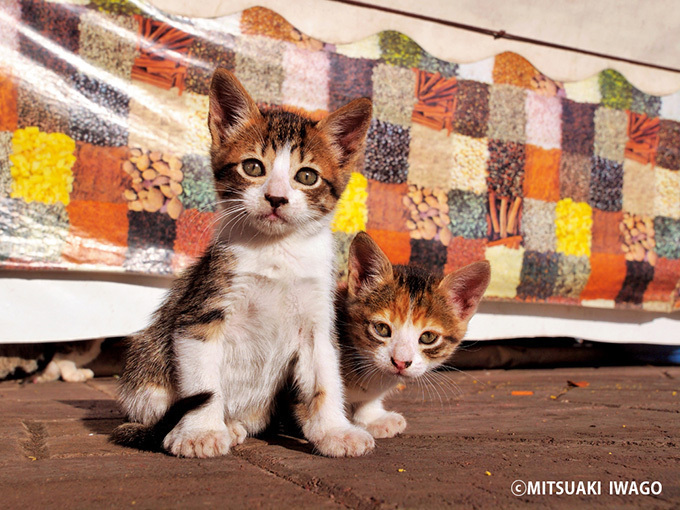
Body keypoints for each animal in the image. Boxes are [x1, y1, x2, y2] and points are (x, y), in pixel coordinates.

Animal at [113, 68, 374, 458]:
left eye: (306, 176)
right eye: (253, 167)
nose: (276, 198)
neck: (276, 250)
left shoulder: (317, 321)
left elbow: (325, 380)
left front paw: (335, 431)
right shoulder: (201, 312)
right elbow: (202, 384)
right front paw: (200, 432)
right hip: (147, 365)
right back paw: (216, 426)